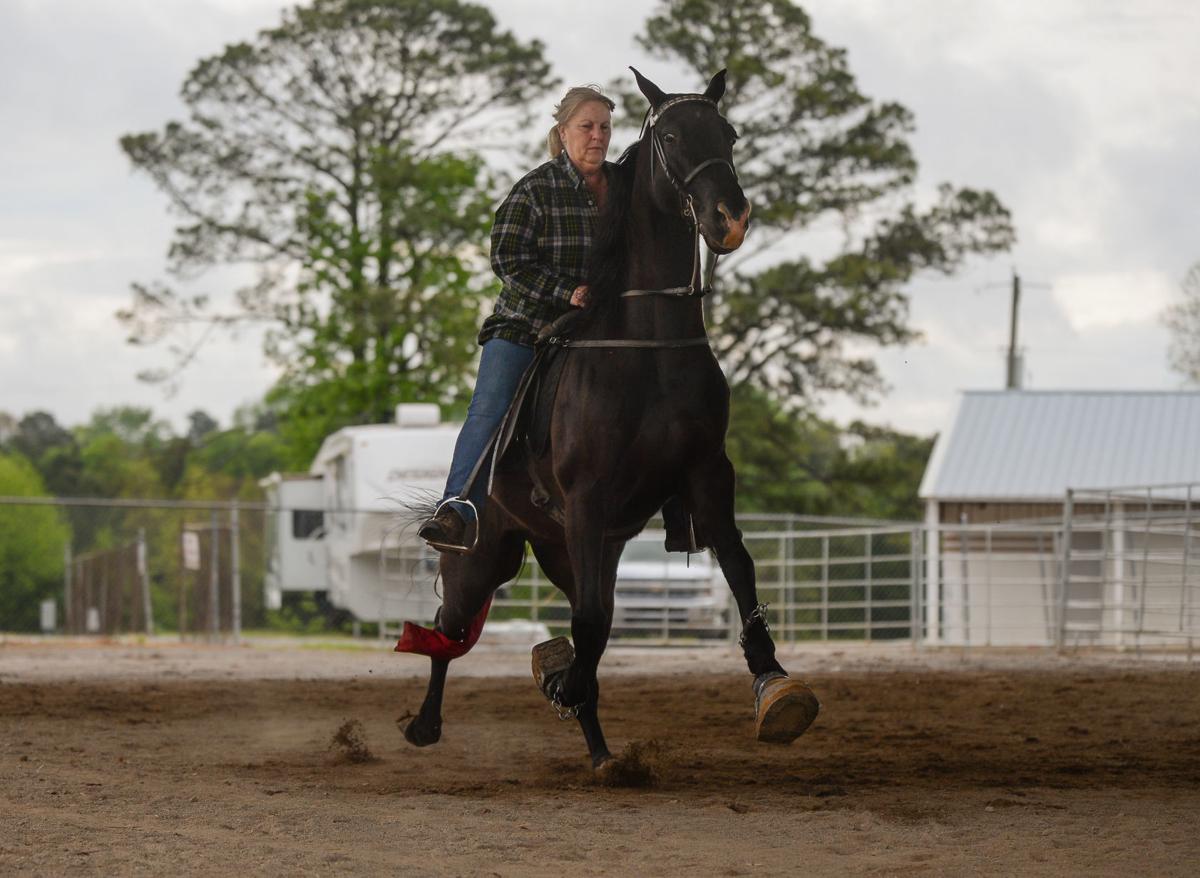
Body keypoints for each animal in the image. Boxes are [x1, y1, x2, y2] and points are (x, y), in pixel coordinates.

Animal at [398, 68, 819, 770]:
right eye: (672, 136)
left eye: (729, 133)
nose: (729, 218)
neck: (649, 345)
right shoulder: (589, 497)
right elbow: (591, 626)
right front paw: (565, 684)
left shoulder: (708, 474)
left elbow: (736, 568)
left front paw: (775, 686)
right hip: (482, 555)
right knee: (448, 633)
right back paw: (427, 723)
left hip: (570, 550)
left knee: (579, 623)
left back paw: (600, 750)